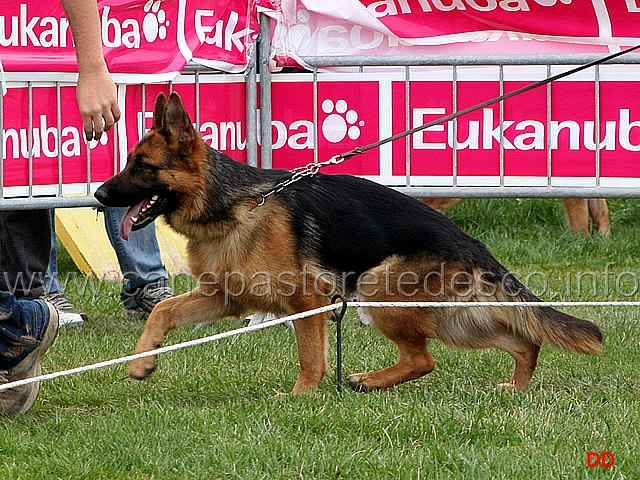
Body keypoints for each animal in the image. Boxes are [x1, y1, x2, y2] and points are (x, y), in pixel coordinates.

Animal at [92, 94, 604, 394]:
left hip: (379, 292)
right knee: (522, 341)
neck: (232, 204)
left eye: (142, 166)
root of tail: (469, 240)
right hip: (454, 317)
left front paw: (301, 397)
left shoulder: (307, 302)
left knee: (423, 359)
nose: (97, 195)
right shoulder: (224, 298)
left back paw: (369, 380)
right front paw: (143, 361)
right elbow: (163, 310)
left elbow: (310, 358)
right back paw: (515, 386)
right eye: (129, 161)